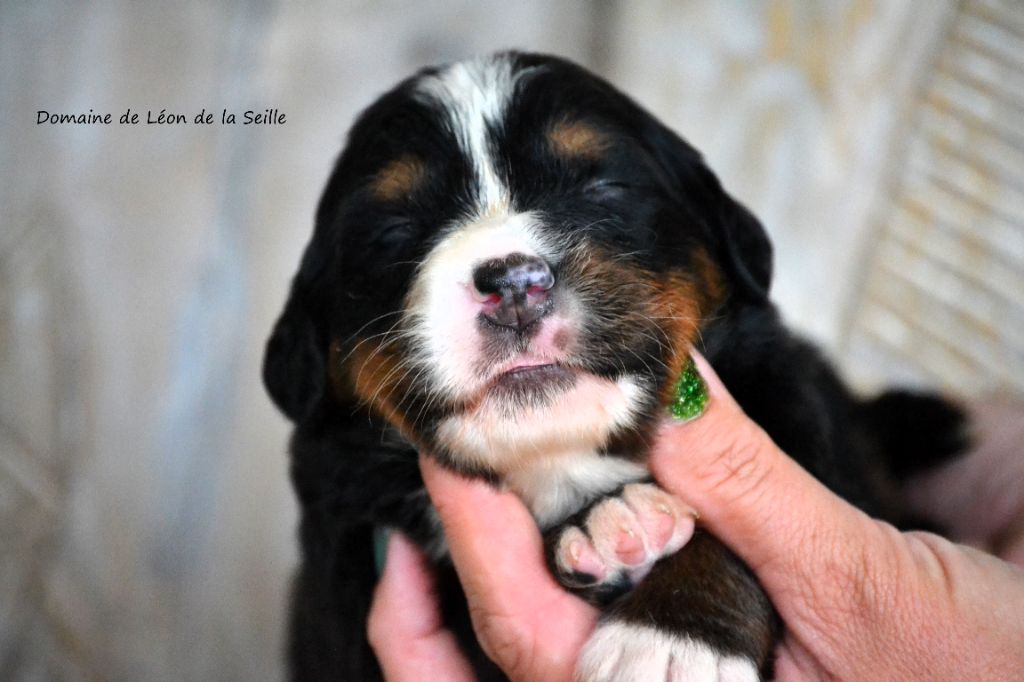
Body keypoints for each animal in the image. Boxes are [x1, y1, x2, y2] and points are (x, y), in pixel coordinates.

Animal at [264, 50, 966, 675]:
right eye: (393, 231)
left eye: (603, 187)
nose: (515, 282)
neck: (563, 463)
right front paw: (615, 533)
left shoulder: (793, 410)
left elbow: (758, 530)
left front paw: (670, 641)